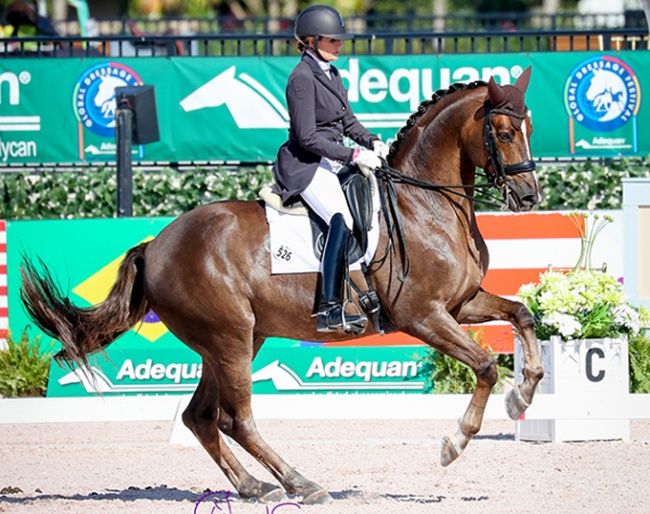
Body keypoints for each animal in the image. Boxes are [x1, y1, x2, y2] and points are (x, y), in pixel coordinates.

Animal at [21, 67, 540, 504]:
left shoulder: (460, 304)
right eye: (504, 133)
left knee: (201, 418)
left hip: (233, 340)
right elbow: (485, 365)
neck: (425, 205)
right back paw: (301, 484)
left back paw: (255, 487)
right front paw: (456, 441)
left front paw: (524, 393)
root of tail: (156, 245)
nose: (530, 197)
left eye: (529, 129)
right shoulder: (422, 315)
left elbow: (522, 314)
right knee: (237, 419)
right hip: (229, 338)